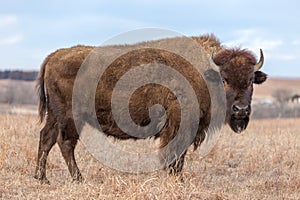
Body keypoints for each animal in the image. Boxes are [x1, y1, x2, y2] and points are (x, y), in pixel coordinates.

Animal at [34, 34, 268, 183]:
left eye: (250, 81)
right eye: (225, 79)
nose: (240, 109)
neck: (205, 73)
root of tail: (54, 56)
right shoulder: (179, 126)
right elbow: (175, 155)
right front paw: (177, 179)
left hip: (54, 115)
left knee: (46, 137)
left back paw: (42, 178)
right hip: (70, 117)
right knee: (65, 143)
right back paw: (78, 179)